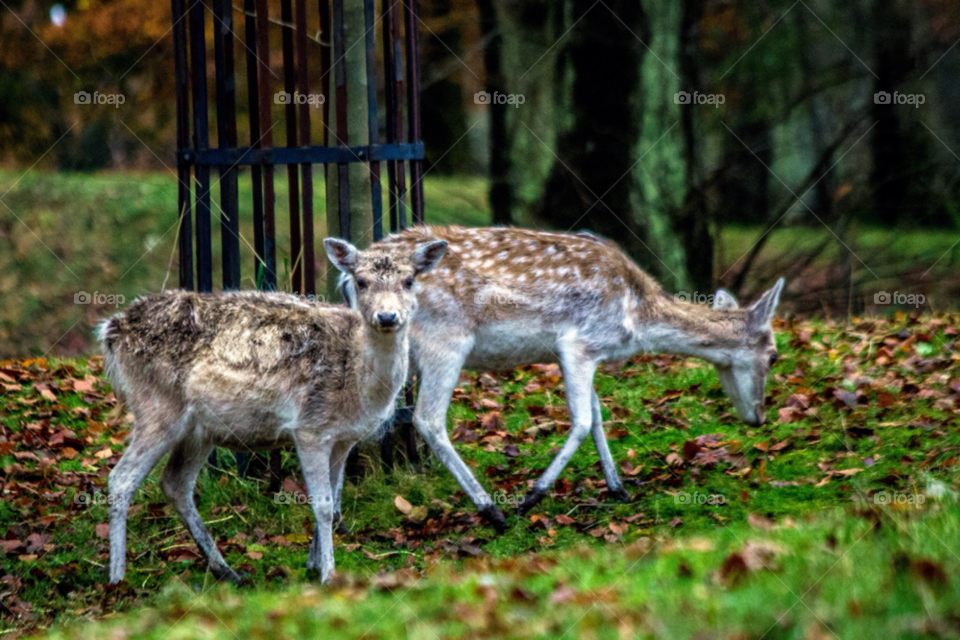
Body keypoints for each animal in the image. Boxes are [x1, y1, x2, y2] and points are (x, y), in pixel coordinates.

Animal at [98, 236, 448, 584]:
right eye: (361, 281)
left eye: (409, 280)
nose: (387, 317)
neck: (358, 385)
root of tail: (110, 331)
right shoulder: (309, 426)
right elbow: (322, 505)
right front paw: (328, 575)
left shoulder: (344, 438)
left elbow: (335, 500)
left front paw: (313, 564)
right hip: (156, 406)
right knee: (120, 480)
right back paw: (117, 578)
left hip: (199, 430)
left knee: (175, 484)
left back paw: (227, 571)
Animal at [339, 226, 784, 529]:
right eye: (774, 356)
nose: (759, 417)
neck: (636, 319)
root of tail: (347, 276)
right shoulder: (579, 345)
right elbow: (584, 420)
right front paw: (531, 497)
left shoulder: (578, 353)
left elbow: (598, 413)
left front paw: (619, 488)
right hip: (444, 340)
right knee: (428, 418)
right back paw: (492, 511)